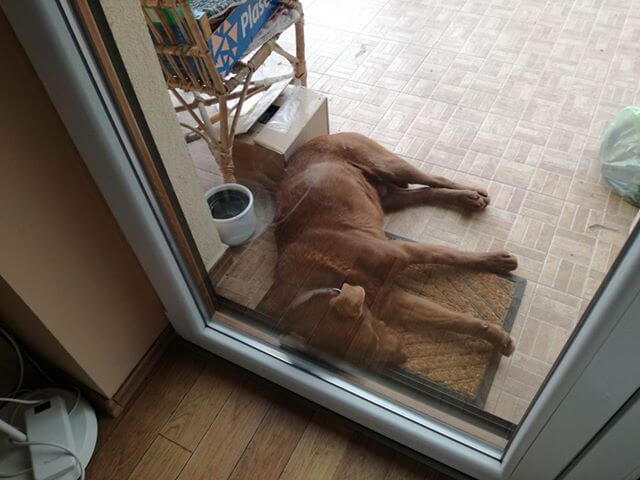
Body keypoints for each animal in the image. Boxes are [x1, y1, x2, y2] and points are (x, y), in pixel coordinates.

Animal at [268, 132, 517, 367]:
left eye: (369, 333)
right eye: (358, 358)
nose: (403, 356)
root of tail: (323, 136)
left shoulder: (403, 250)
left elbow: (453, 255)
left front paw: (497, 261)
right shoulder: (393, 301)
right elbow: (454, 320)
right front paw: (497, 337)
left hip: (389, 165)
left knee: (435, 179)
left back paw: (473, 193)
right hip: (389, 196)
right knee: (425, 192)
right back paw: (466, 198)